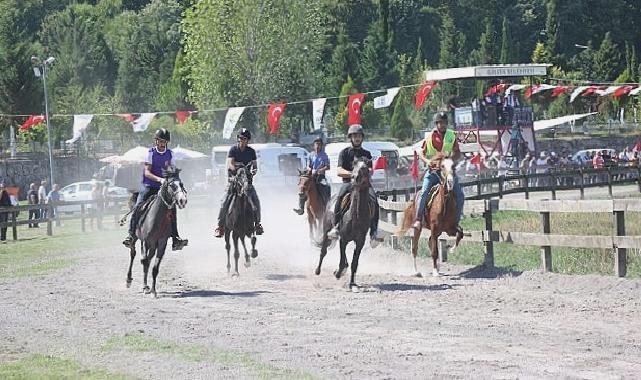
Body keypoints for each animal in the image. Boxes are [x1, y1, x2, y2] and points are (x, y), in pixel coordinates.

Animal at [124, 166, 186, 296]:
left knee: (149, 258)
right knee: (133, 254)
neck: (156, 218)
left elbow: (155, 267)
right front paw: (144, 287)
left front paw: (153, 290)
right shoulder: (144, 241)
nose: (183, 200)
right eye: (172, 185)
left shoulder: (162, 242)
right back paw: (128, 279)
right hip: (137, 239)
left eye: (181, 184)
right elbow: (144, 261)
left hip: (153, 245)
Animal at [314, 159, 372, 290]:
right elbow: (341, 261)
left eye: (365, 168)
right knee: (323, 251)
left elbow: (354, 263)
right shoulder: (343, 239)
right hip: (326, 231)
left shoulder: (359, 242)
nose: (355, 177)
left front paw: (352, 283)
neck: (356, 216)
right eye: (354, 167)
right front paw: (338, 273)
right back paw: (317, 270)